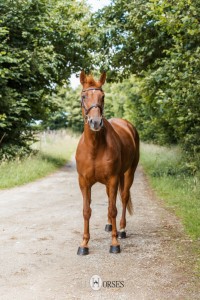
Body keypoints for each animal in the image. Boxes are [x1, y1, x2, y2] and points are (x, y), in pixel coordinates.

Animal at [75, 71, 139, 255]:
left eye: (102, 96)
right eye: (83, 96)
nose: (95, 122)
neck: (95, 147)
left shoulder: (113, 179)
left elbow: (113, 209)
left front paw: (114, 243)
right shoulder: (84, 182)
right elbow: (86, 211)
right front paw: (84, 244)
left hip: (129, 173)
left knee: (123, 198)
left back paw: (122, 230)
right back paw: (110, 225)